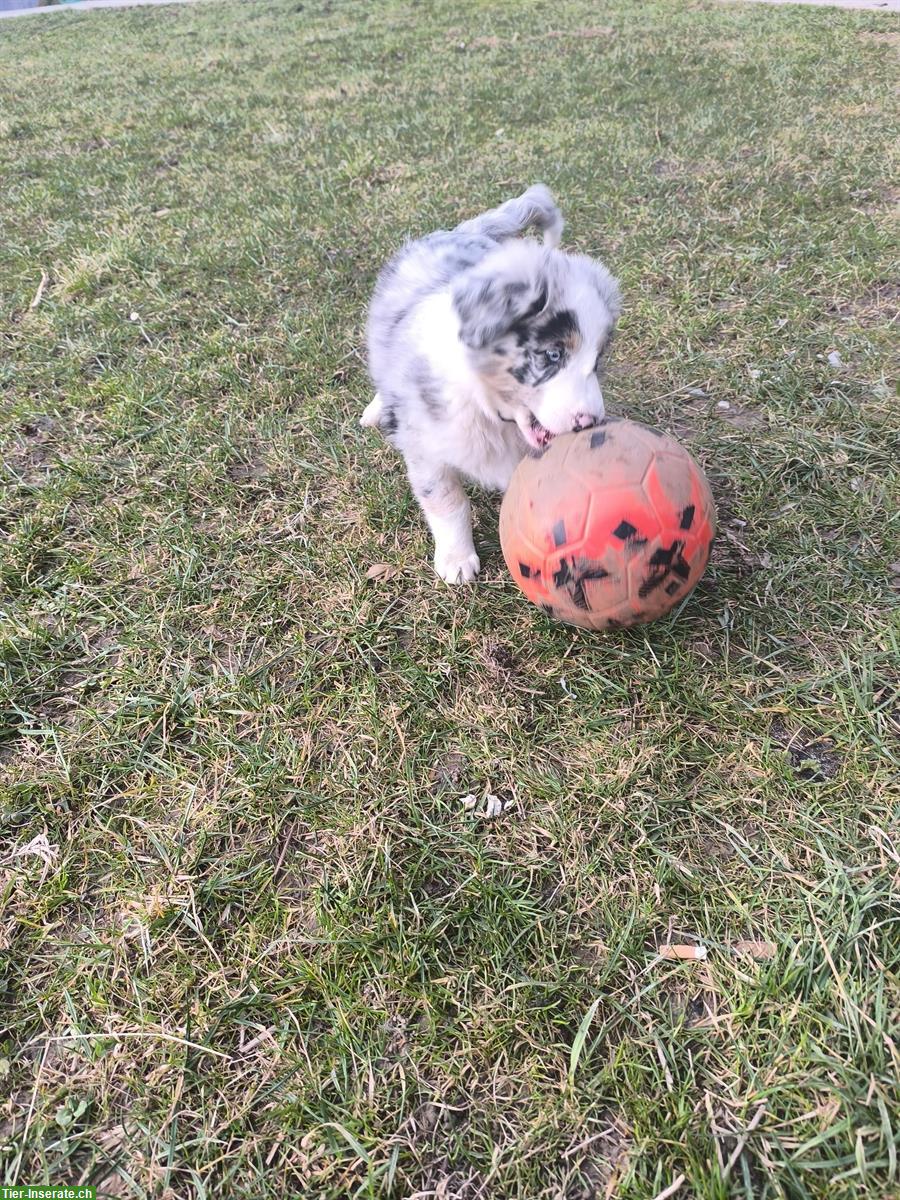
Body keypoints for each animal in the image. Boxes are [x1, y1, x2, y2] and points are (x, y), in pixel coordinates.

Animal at [360, 181, 619, 585]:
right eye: (553, 354)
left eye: (597, 359)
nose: (590, 422)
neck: (484, 407)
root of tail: (461, 231)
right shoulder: (425, 447)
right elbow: (447, 502)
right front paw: (457, 561)